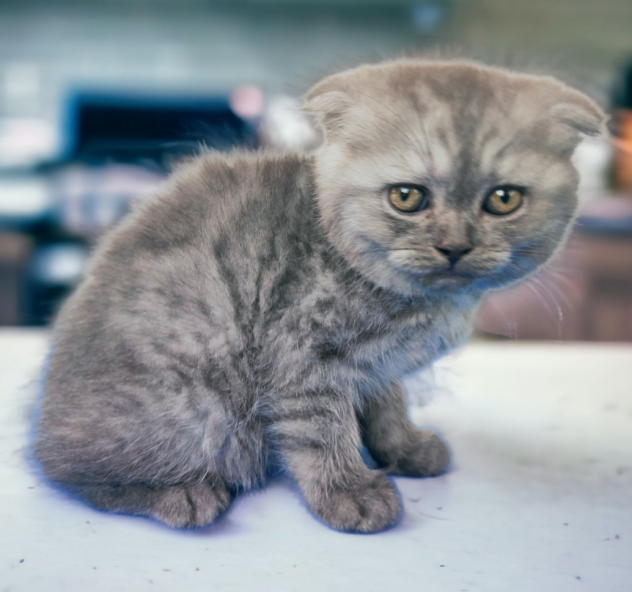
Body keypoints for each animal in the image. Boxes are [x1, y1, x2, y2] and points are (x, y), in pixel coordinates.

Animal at [32, 59, 604, 532]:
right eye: (406, 197)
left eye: (503, 200)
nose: (454, 246)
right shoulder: (300, 357)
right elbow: (322, 431)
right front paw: (349, 492)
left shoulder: (375, 368)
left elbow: (388, 405)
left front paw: (405, 448)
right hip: (193, 404)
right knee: (69, 471)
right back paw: (182, 495)